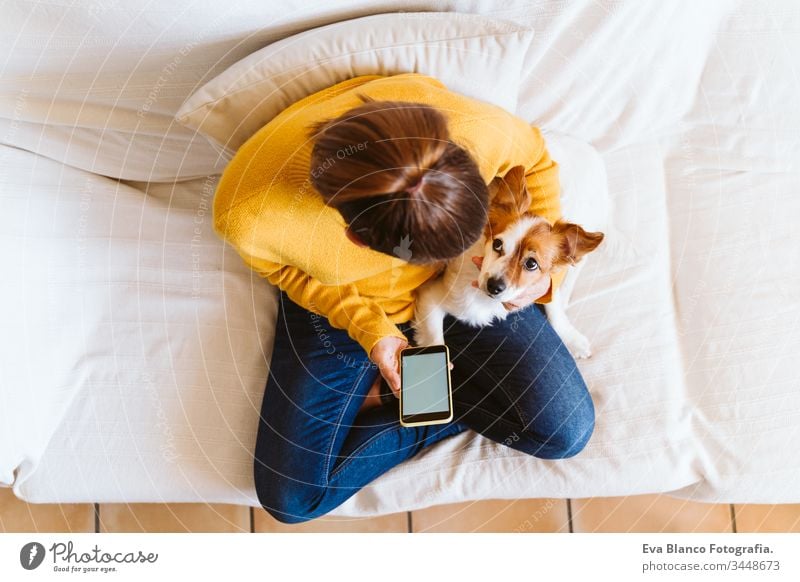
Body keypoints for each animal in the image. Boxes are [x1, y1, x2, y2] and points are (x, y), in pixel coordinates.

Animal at [416, 165, 604, 360]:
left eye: (531, 264)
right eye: (497, 244)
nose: (493, 286)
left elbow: (553, 304)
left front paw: (571, 338)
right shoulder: (432, 296)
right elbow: (435, 341)